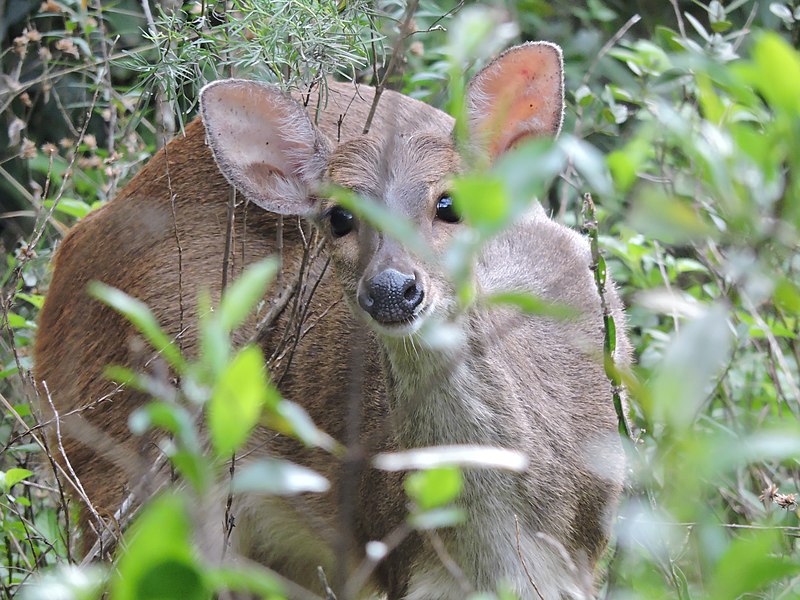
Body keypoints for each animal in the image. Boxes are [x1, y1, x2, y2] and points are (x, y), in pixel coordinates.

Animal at [32, 43, 632, 600]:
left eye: (449, 205)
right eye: (339, 216)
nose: (392, 288)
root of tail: (74, 242)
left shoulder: (584, 557)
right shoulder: (398, 557)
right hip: (126, 456)